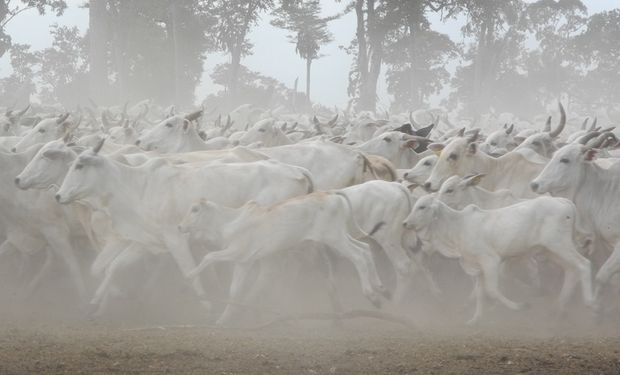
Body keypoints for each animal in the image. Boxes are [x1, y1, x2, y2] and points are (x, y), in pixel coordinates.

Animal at [180, 192, 388, 324]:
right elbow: (234, 292)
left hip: (334, 237)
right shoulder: (244, 262)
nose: (180, 226)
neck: (228, 222)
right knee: (365, 249)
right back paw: (380, 287)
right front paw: (223, 320)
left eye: (195, 209)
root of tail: (334, 196)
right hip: (340, 235)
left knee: (358, 256)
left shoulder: (235, 252)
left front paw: (188, 277)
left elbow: (209, 256)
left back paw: (372, 295)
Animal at [404, 195, 592, 324]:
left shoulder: (490, 261)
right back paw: (558, 309)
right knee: (571, 271)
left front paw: (520, 306)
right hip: (550, 251)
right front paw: (476, 319)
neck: (458, 227)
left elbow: (492, 290)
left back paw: (590, 305)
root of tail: (563, 201)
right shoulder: (477, 267)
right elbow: (480, 293)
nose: (405, 223)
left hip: (559, 245)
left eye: (422, 207)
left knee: (584, 265)